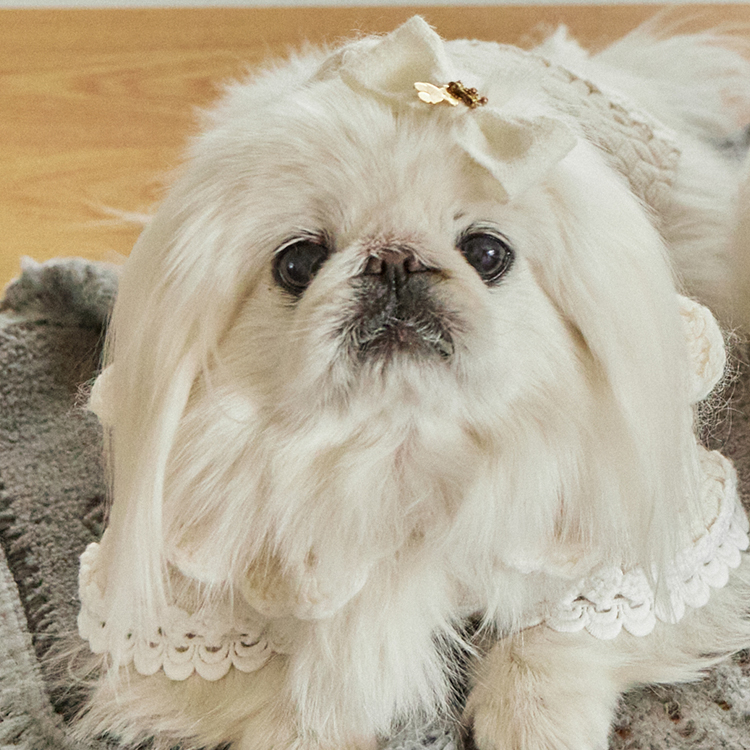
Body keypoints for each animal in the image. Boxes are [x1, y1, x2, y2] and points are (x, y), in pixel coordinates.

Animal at [72, 16, 750, 750]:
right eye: (298, 263)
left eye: (487, 253)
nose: (394, 259)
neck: (405, 448)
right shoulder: (190, 579)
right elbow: (294, 691)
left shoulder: (644, 518)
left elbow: (555, 639)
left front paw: (536, 723)